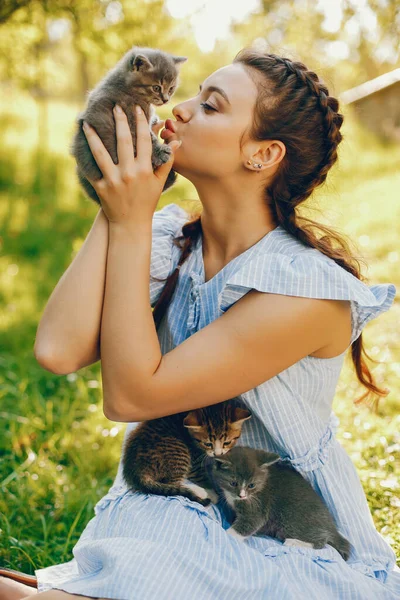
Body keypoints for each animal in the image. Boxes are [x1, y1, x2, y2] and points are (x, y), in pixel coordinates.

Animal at [70, 45, 188, 204]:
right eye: (156, 88)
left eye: (171, 88)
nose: (165, 100)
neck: (126, 86)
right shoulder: (130, 116)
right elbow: (146, 138)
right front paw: (159, 152)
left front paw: (154, 119)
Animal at [122, 404, 252, 506]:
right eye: (208, 444)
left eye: (227, 443)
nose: (217, 453)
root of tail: (136, 470)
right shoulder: (194, 460)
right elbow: (201, 476)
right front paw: (212, 493)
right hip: (179, 452)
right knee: (172, 483)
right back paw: (200, 492)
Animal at [212, 442, 350, 560]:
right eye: (233, 483)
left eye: (251, 485)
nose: (241, 496)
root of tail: (331, 527)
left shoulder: (258, 507)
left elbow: (248, 524)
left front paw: (227, 533)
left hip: (292, 520)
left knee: (321, 542)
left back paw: (294, 542)